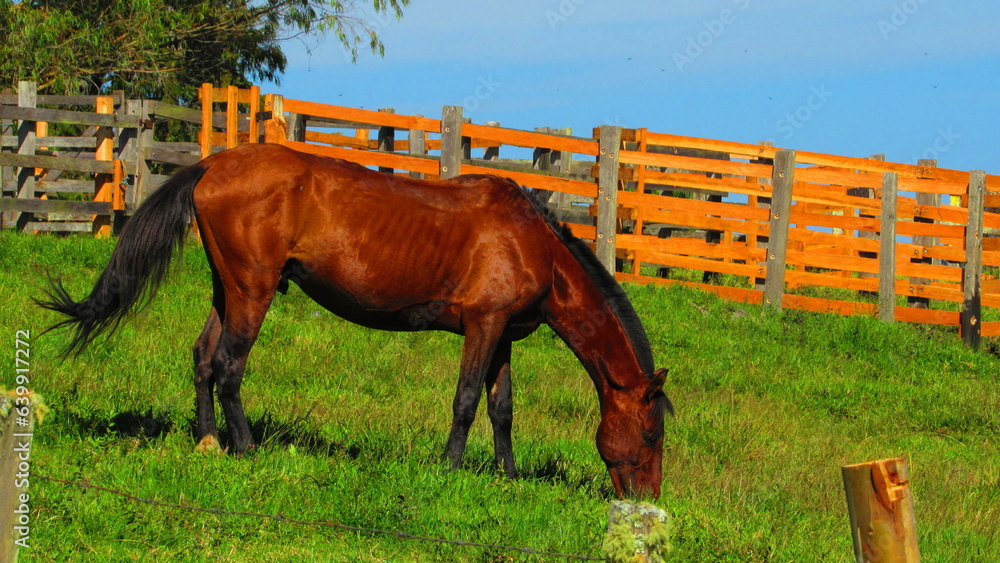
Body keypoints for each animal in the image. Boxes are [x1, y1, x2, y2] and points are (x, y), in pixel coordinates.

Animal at [39, 142, 672, 498]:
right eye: (649, 434)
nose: (647, 500)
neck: (530, 241)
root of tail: (214, 163)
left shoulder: (504, 336)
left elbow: (502, 408)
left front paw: (509, 478)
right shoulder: (483, 326)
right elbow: (467, 400)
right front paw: (449, 470)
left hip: (228, 288)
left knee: (201, 357)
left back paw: (207, 442)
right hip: (253, 290)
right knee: (228, 365)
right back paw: (245, 449)